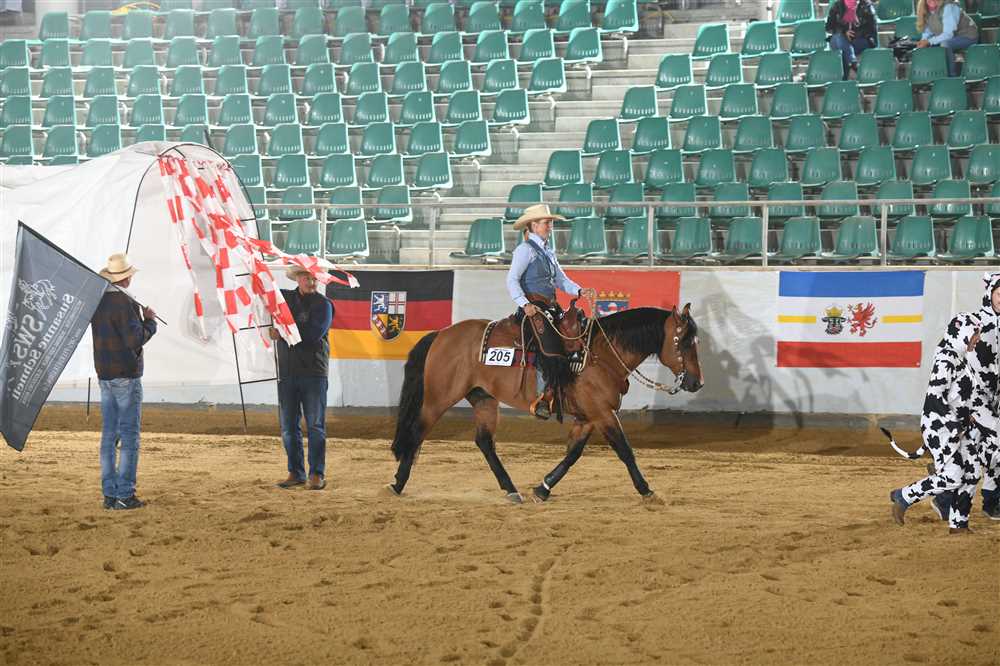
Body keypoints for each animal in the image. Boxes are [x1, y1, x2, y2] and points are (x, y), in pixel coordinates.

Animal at [386, 304, 703, 503]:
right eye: (686, 342)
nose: (697, 383)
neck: (601, 354)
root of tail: (441, 334)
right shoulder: (603, 413)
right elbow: (625, 451)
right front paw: (647, 491)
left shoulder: (587, 417)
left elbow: (573, 454)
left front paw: (543, 488)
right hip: (439, 398)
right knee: (417, 432)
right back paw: (397, 483)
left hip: (483, 399)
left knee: (484, 442)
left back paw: (511, 490)